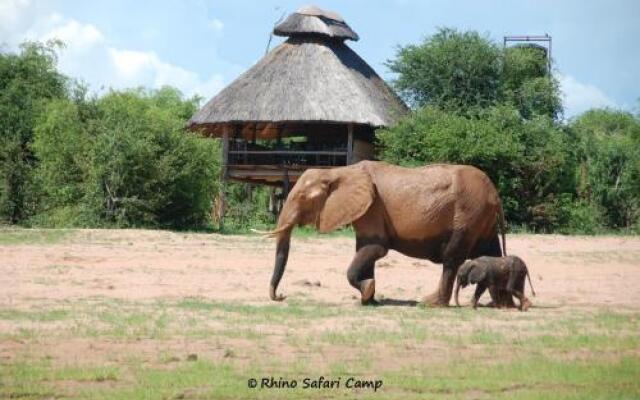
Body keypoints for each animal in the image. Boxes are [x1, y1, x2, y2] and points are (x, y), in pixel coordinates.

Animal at [264, 161, 504, 304]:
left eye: (303, 198)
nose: (281, 297)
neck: (338, 171)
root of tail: (494, 193)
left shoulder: (372, 207)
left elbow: (375, 249)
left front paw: (367, 292)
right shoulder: (366, 210)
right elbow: (366, 250)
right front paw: (369, 299)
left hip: (468, 214)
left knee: (452, 257)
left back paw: (431, 303)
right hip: (481, 218)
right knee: (492, 253)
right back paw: (499, 304)